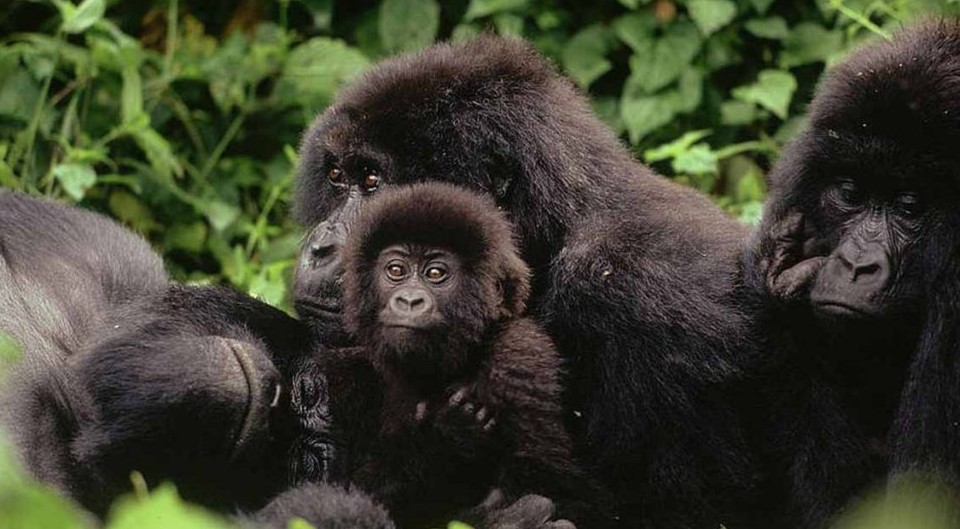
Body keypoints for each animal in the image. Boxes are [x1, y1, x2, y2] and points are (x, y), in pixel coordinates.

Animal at [330, 183, 600, 528]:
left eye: (435, 273)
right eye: (395, 270)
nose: (409, 300)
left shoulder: (518, 357)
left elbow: (561, 492)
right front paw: (447, 439)